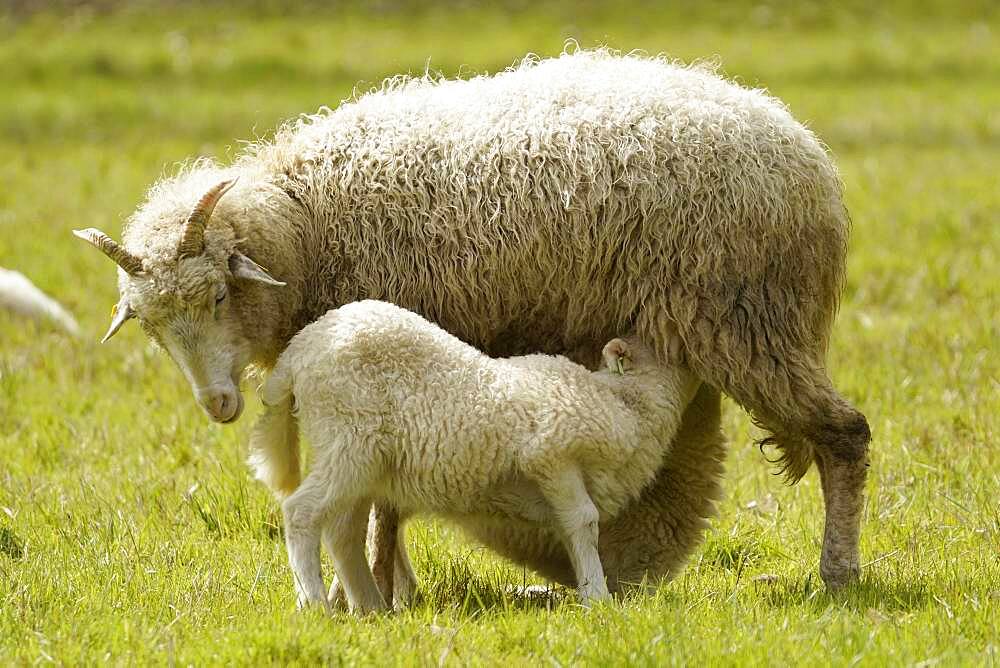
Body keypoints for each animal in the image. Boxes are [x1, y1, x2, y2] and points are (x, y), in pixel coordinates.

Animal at [249, 300, 700, 612]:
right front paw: (599, 599)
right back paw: (315, 603)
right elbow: (584, 523)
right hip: (348, 440)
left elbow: (572, 532)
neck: (626, 403)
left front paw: (589, 589)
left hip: (361, 461)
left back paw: (372, 607)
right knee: (302, 513)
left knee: (343, 532)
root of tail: (299, 351)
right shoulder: (551, 456)